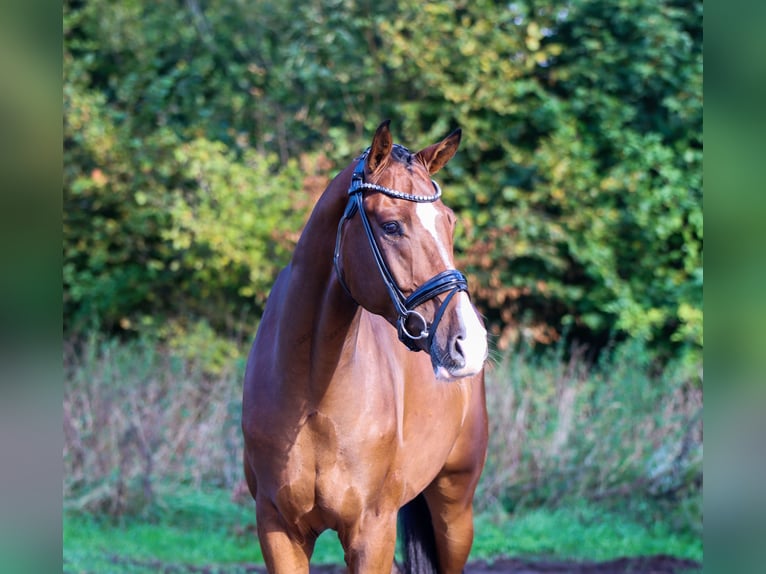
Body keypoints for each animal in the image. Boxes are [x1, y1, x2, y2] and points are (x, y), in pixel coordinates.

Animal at [242, 120, 489, 573]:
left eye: (449, 222)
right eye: (391, 226)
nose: (471, 342)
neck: (313, 393)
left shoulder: (372, 531)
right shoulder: (277, 529)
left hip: (455, 508)